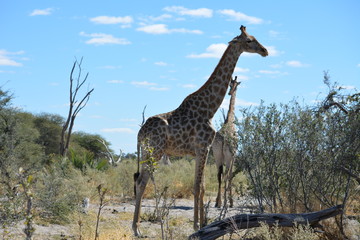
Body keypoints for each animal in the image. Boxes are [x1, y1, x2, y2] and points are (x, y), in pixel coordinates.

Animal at [132, 25, 268, 235]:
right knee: (141, 181)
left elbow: (202, 186)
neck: (209, 108)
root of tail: (140, 134)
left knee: (140, 180)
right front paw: (197, 225)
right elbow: (197, 187)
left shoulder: (202, 149)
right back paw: (136, 229)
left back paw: (137, 227)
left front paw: (203, 223)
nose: (265, 51)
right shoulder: (203, 147)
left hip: (148, 152)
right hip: (155, 151)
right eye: (249, 40)